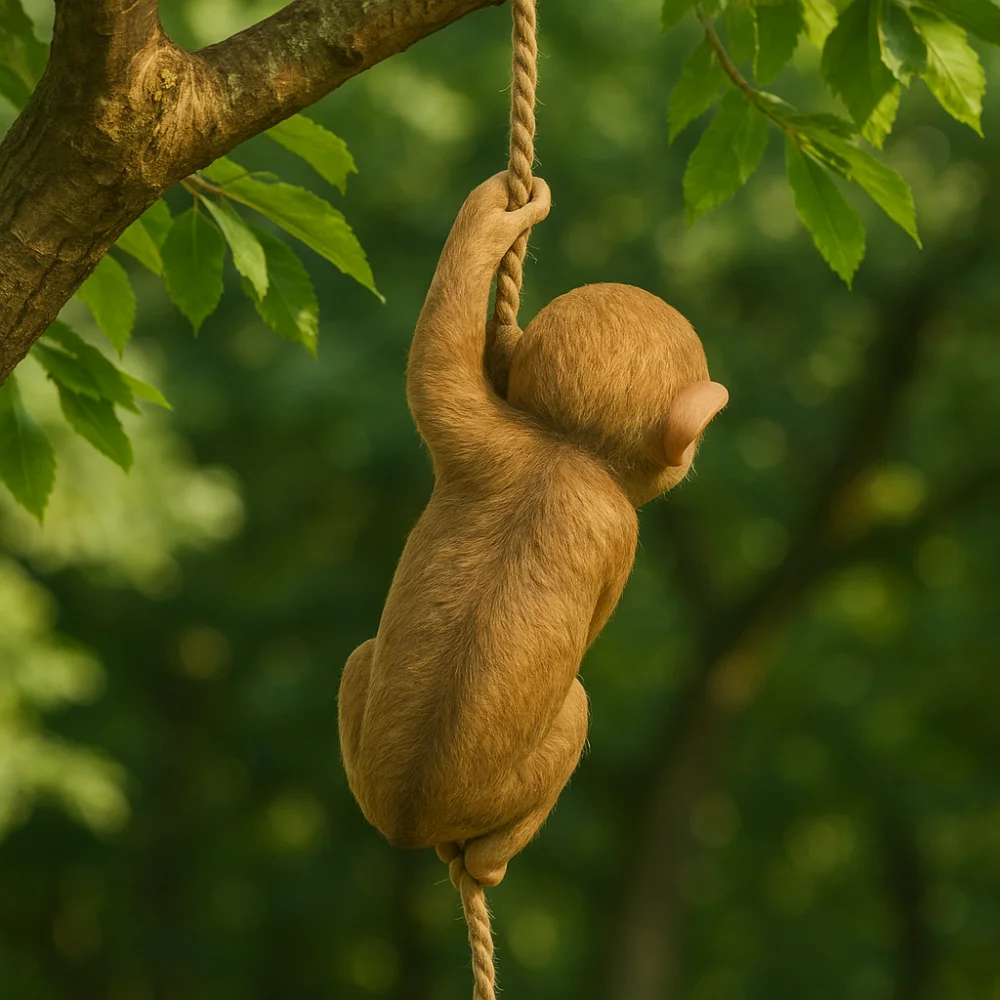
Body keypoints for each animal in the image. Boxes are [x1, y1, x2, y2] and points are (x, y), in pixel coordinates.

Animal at [338, 173, 728, 889]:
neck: (563, 450)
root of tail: (410, 817)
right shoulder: (622, 531)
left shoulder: (476, 431)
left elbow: (435, 355)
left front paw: (495, 215)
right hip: (515, 777)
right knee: (573, 710)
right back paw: (487, 862)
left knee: (357, 660)